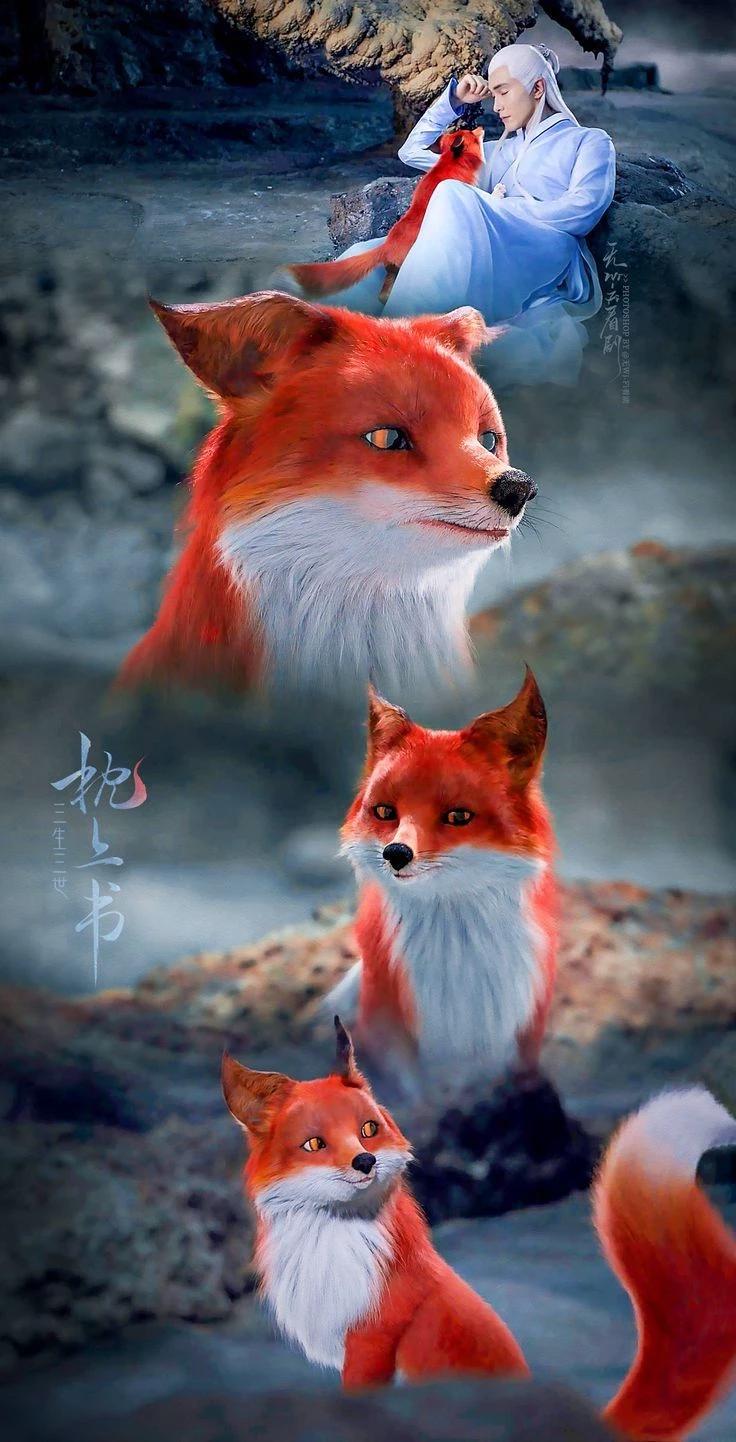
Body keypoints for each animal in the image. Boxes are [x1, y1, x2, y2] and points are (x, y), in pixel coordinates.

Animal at [288, 127, 486, 304]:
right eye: (472, 133)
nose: (481, 127)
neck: (449, 163)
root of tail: (387, 246)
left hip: (392, 272)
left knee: (383, 295)